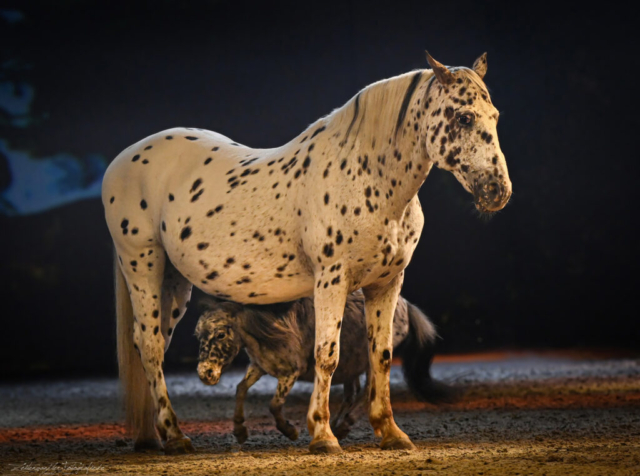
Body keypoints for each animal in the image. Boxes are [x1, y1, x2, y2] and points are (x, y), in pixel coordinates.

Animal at [106, 51, 516, 454]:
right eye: (464, 117)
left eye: (495, 116)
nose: (498, 190)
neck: (368, 177)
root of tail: (123, 160)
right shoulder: (332, 280)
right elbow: (327, 355)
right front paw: (322, 434)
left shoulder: (386, 284)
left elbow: (380, 357)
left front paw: (390, 432)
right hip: (143, 265)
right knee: (151, 347)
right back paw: (174, 435)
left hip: (173, 281)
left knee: (152, 345)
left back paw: (155, 436)